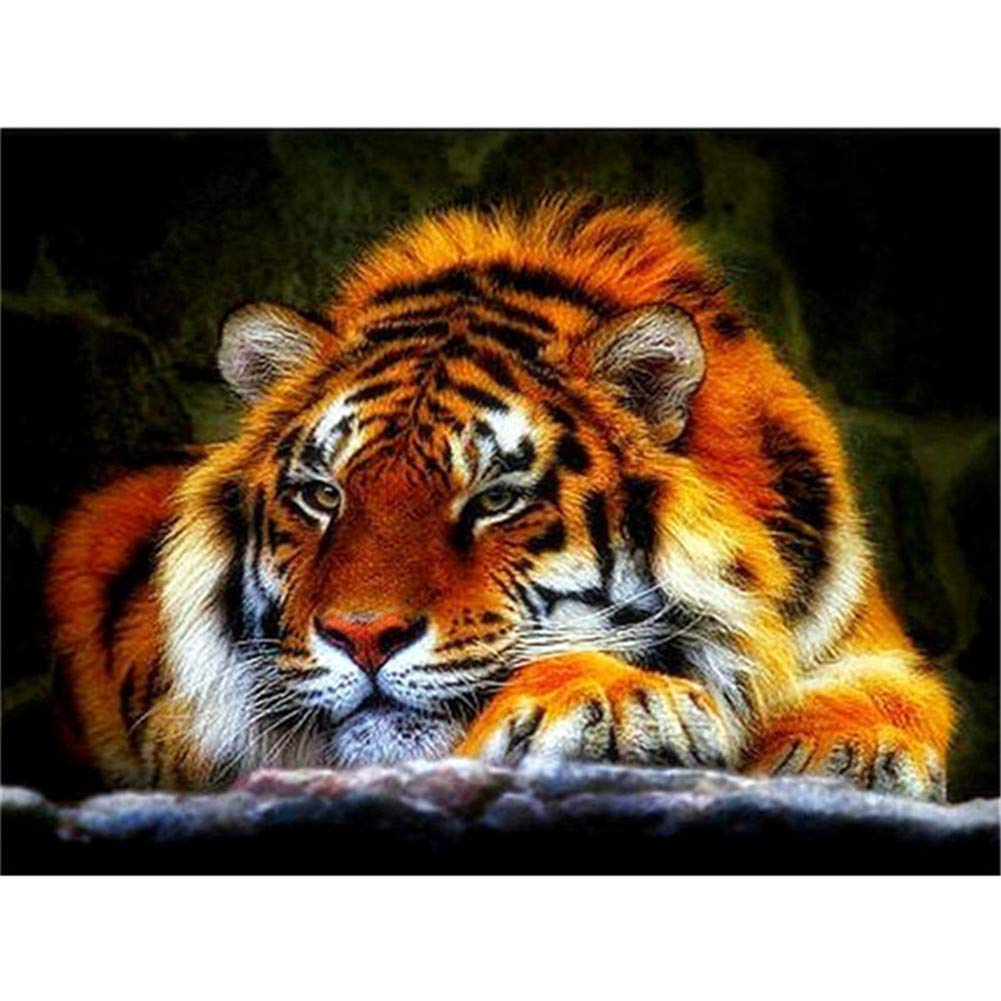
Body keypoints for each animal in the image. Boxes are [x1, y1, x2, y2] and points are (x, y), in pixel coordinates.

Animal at [45, 195, 954, 798]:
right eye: (322, 495)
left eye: (494, 499)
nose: (361, 636)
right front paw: (617, 698)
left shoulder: (863, 637)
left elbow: (889, 688)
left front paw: (843, 752)